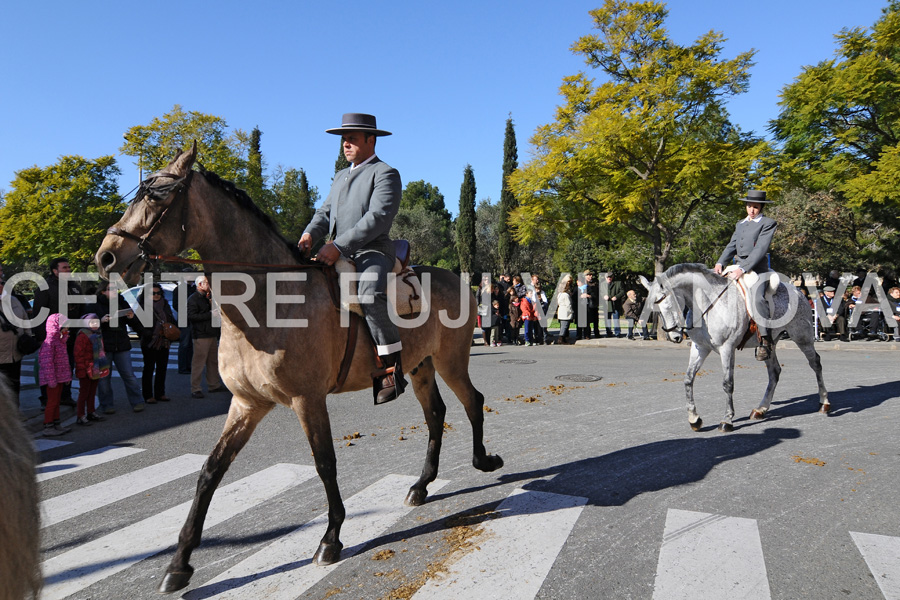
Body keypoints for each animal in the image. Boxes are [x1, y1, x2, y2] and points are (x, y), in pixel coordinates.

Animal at [95, 144, 502, 592]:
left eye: (157, 197)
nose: (106, 256)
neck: (267, 302)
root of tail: (455, 278)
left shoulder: (308, 400)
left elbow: (325, 463)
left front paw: (330, 539)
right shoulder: (247, 404)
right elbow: (210, 472)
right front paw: (179, 562)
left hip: (450, 361)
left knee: (472, 401)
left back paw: (483, 461)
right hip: (420, 367)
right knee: (436, 414)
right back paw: (421, 485)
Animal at [640, 264, 828, 432]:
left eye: (666, 303)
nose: (674, 337)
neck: (710, 304)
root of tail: (798, 292)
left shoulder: (727, 348)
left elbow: (727, 383)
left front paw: (727, 420)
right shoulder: (700, 347)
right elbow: (688, 379)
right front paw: (694, 419)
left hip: (802, 338)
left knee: (816, 364)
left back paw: (824, 403)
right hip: (770, 345)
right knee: (774, 372)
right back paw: (760, 409)